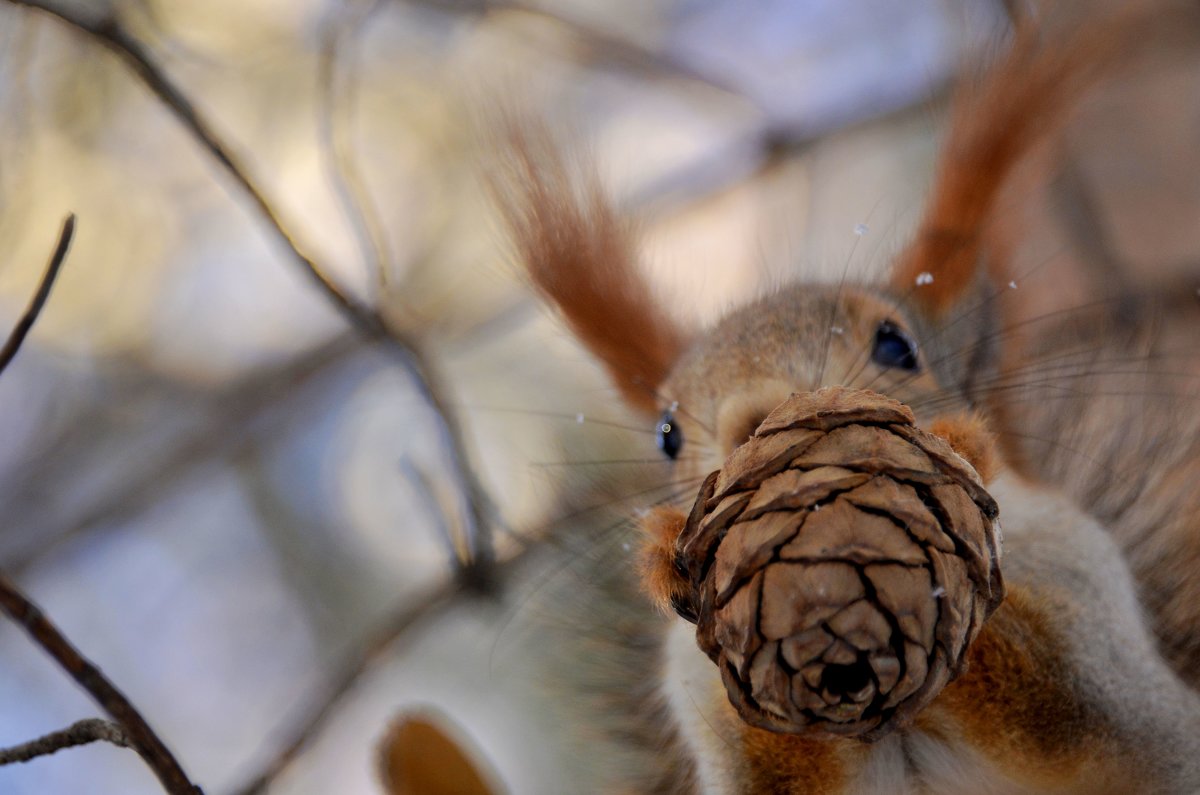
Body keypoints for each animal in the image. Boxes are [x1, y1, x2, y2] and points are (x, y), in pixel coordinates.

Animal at [379, 3, 1200, 792]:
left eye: (897, 346)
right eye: (667, 434)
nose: (757, 416)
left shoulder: (1088, 591)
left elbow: (1096, 719)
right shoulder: (695, 692)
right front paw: (665, 555)